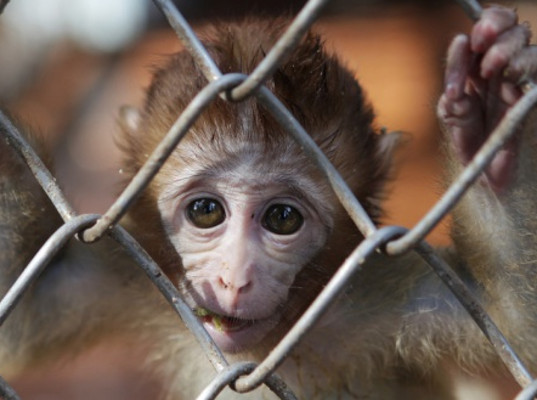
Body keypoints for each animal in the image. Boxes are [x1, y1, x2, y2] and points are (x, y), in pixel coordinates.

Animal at [1, 3, 536, 400]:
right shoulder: (132, 273)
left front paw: (495, 125)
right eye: (206, 211)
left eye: (282, 218)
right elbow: (27, 312)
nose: (234, 280)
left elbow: (514, 322)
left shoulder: (385, 297)